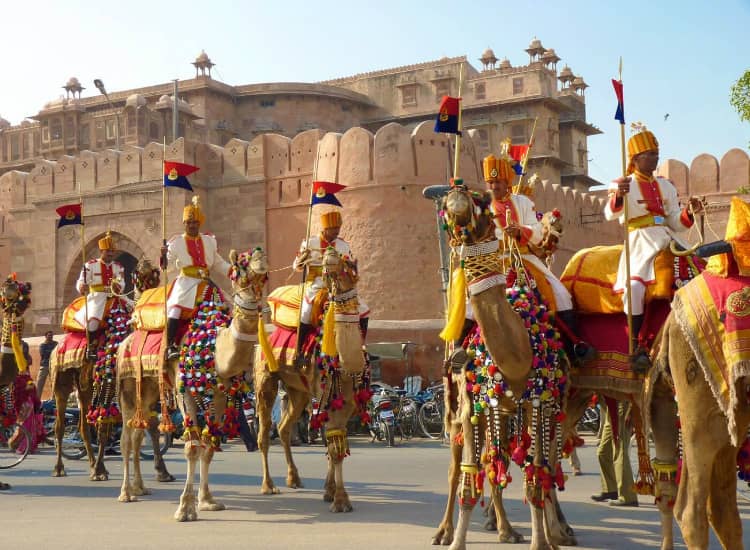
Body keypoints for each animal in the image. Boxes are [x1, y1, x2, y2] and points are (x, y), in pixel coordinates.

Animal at [51, 258, 170, 484]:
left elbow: (151, 425)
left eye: (155, 274)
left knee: (83, 425)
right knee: (60, 425)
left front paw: (163, 472)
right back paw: (60, 468)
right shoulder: (110, 384)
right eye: (139, 274)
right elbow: (105, 425)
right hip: (61, 377)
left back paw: (90, 464)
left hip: (85, 386)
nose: (147, 264)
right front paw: (100, 469)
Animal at [114, 250, 270, 528]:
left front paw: (207, 501)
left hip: (149, 389)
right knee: (125, 439)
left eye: (264, 274)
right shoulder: (183, 390)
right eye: (241, 267)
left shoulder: (220, 394)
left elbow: (208, 447)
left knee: (138, 434)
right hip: (128, 386)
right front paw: (185, 509)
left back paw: (140, 487)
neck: (214, 346)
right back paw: (125, 493)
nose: (260, 258)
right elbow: (192, 448)